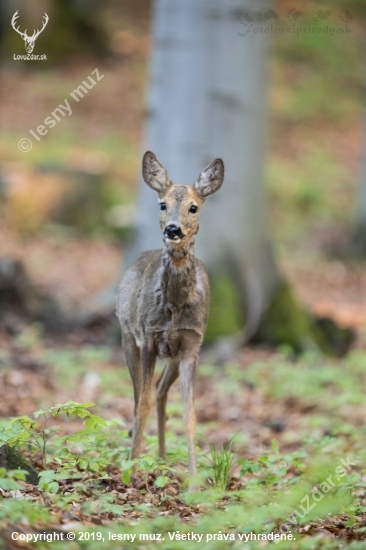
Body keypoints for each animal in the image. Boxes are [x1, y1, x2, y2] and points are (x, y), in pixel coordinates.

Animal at [117, 153, 224, 486]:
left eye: (194, 207)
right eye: (162, 204)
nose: (174, 229)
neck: (175, 307)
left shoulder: (191, 347)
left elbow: (190, 414)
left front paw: (195, 481)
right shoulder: (149, 339)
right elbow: (143, 404)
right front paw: (132, 471)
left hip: (173, 356)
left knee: (162, 392)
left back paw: (164, 460)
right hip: (128, 337)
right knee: (139, 396)